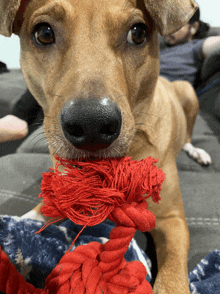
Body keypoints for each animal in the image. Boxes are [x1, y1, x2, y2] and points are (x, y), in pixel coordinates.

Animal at [0, 0, 211, 292]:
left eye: (138, 33)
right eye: (43, 33)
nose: (91, 124)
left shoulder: (173, 221)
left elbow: (172, 279)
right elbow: (33, 214)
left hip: (188, 93)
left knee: (189, 135)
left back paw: (196, 151)